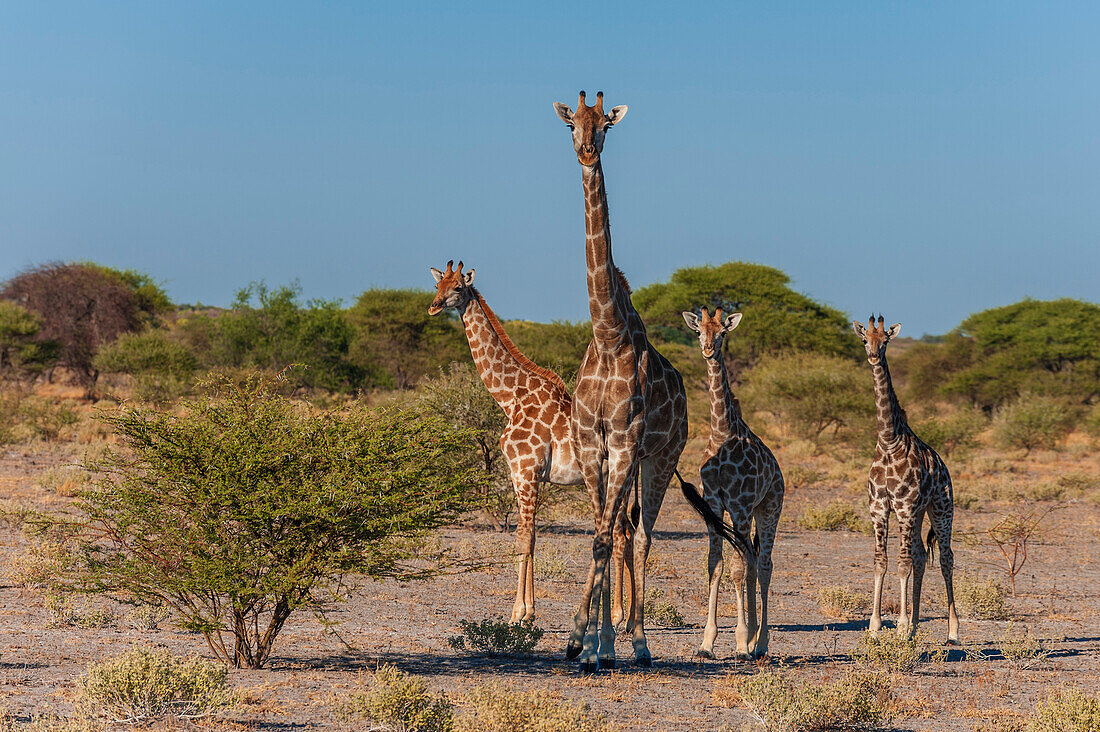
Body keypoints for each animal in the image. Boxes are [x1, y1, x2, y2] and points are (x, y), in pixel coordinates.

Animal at [426, 259, 585, 620]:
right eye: (437, 286)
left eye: (458, 287)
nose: (434, 307)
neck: (510, 397)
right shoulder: (519, 474)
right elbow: (531, 536)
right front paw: (529, 611)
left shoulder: (526, 471)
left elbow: (523, 538)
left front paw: (519, 614)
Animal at [554, 88, 752, 669]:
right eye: (571, 123)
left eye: (606, 124)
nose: (586, 151)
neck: (608, 334)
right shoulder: (590, 445)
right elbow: (598, 535)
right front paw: (589, 643)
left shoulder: (625, 444)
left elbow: (607, 539)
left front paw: (582, 641)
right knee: (622, 531)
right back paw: (612, 641)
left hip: (660, 459)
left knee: (640, 536)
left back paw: (638, 643)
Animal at [682, 306, 787, 660]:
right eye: (698, 331)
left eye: (723, 333)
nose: (708, 349)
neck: (721, 432)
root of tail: (779, 472)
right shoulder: (714, 503)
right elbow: (716, 565)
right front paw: (706, 643)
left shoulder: (739, 504)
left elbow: (738, 569)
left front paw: (740, 643)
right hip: (750, 513)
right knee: (753, 560)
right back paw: (754, 639)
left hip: (769, 508)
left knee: (764, 564)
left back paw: (760, 643)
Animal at [853, 310, 959, 642]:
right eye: (865, 339)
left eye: (885, 340)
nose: (874, 356)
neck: (889, 442)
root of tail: (944, 467)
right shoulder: (878, 507)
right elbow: (881, 562)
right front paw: (876, 628)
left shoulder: (904, 506)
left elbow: (902, 564)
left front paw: (898, 626)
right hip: (921, 512)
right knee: (922, 557)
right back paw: (913, 626)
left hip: (941, 508)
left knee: (946, 558)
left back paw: (953, 632)